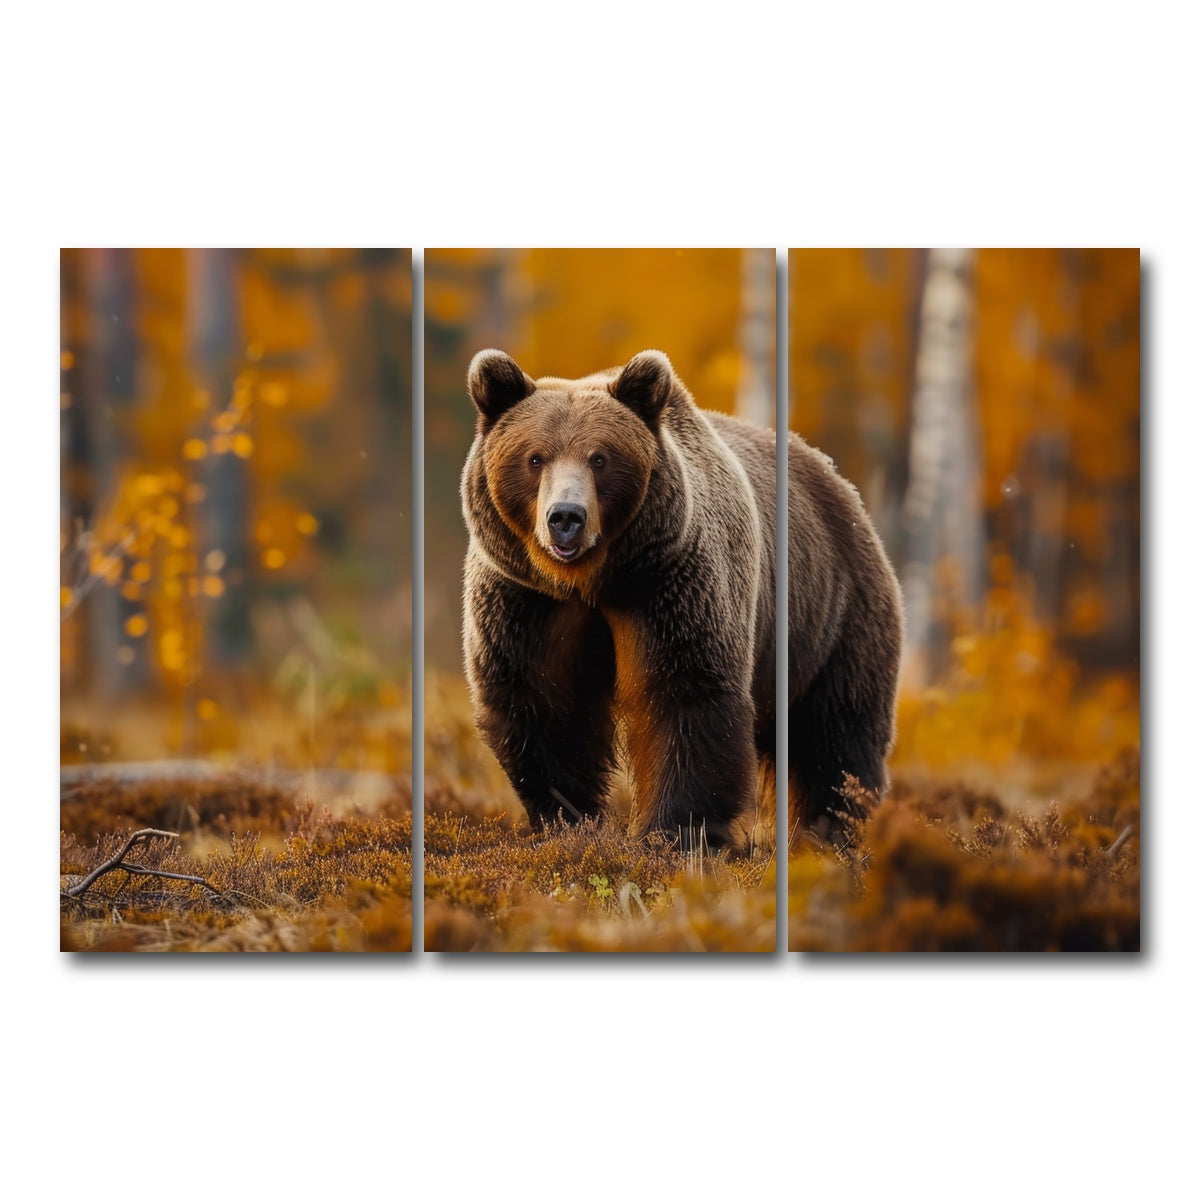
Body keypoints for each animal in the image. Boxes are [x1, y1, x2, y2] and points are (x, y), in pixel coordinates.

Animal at [460, 347, 901, 850]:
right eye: (535, 457)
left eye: (600, 458)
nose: (566, 518)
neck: (593, 580)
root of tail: (839, 482)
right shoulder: (528, 602)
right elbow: (544, 704)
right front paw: (569, 820)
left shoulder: (671, 585)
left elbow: (685, 694)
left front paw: (673, 832)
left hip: (833, 614)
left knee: (837, 733)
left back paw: (834, 830)